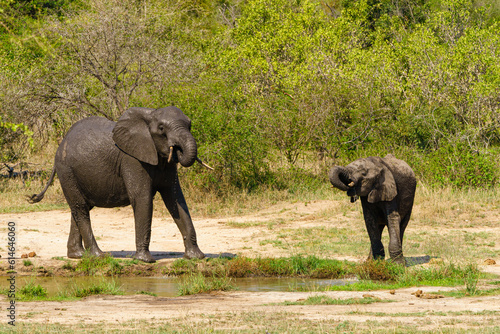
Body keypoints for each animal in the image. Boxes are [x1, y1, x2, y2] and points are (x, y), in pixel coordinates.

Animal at [29, 107, 212, 264]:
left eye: (190, 125)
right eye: (161, 128)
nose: (178, 150)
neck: (150, 115)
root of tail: (61, 144)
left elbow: (175, 199)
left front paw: (196, 257)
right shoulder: (132, 159)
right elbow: (142, 198)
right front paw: (145, 260)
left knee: (79, 207)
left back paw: (78, 255)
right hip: (66, 170)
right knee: (80, 208)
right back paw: (99, 256)